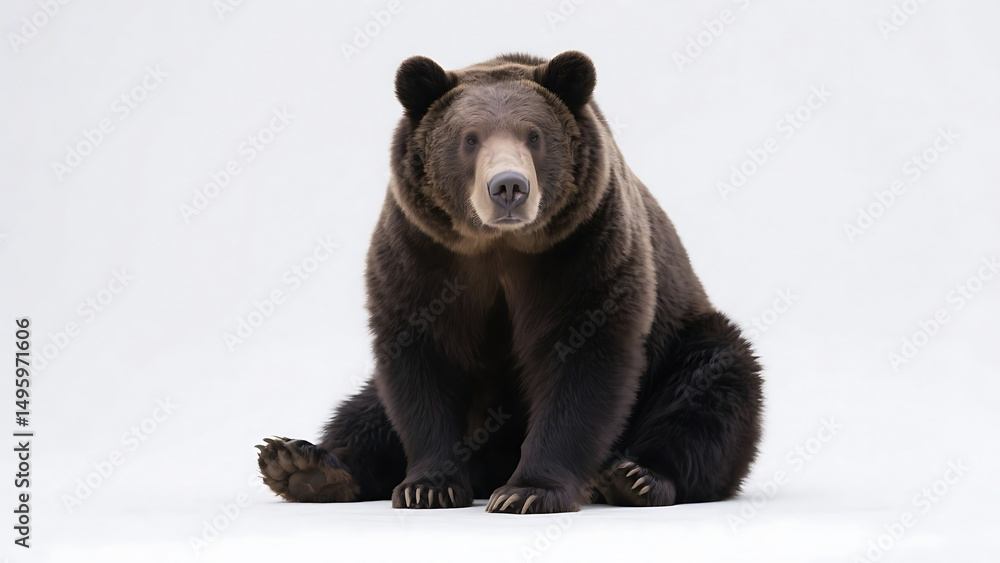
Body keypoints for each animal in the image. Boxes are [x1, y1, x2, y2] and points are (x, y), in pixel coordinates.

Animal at [257, 51, 763, 514]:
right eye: (470, 138)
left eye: (534, 135)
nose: (508, 187)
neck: (498, 246)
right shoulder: (421, 254)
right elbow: (420, 362)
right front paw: (428, 487)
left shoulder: (583, 248)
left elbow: (582, 362)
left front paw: (527, 491)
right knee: (364, 412)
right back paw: (302, 465)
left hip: (681, 339)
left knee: (713, 382)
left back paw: (637, 477)